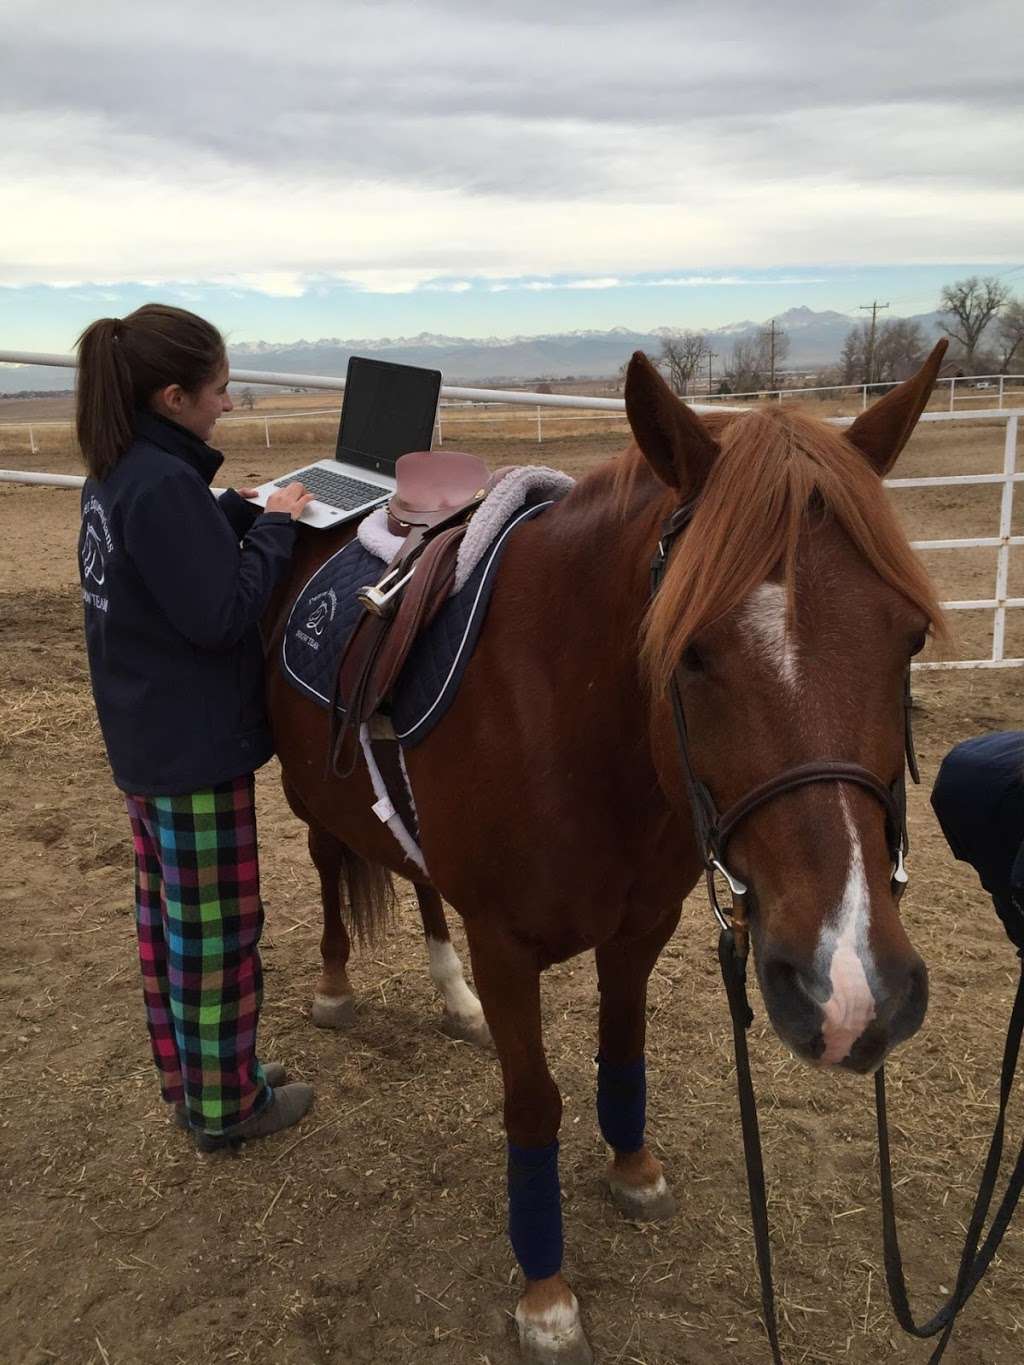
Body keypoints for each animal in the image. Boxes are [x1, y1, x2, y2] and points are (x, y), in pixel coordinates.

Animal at [262, 346, 944, 1359]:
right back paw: (338, 986)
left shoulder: (640, 929)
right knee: (325, 865)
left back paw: (451, 997)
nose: (852, 986)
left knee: (420, 879)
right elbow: (534, 1102)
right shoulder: (507, 948)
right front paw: (545, 1290)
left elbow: (623, 1050)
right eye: (689, 648)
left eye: (910, 636)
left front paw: (634, 1168)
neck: (562, 715)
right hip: (309, 794)